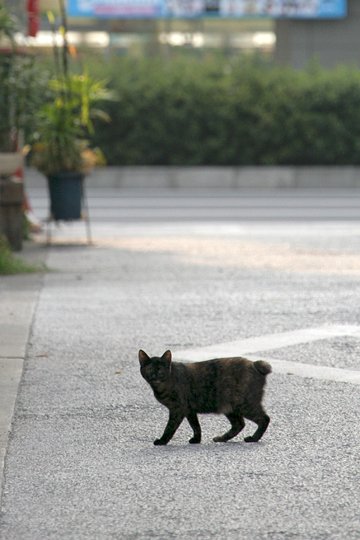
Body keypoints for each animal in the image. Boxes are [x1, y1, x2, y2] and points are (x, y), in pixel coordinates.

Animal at [139, 348, 272, 446]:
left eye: (160, 370)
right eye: (150, 369)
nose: (155, 376)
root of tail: (254, 364)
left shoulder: (178, 409)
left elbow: (170, 427)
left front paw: (162, 441)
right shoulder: (189, 410)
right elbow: (196, 426)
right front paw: (196, 440)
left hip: (244, 405)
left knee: (264, 418)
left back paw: (253, 438)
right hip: (230, 407)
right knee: (239, 424)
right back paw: (221, 438)